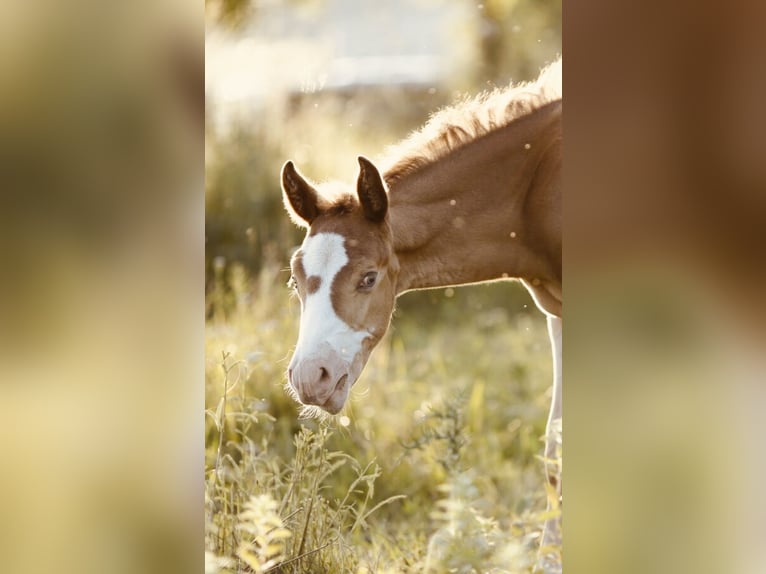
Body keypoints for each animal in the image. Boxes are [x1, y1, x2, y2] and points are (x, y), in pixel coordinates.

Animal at [280, 58, 560, 572]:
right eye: (295, 278)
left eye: (369, 278)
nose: (311, 378)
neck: (538, 183)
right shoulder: (556, 310)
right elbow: (555, 446)